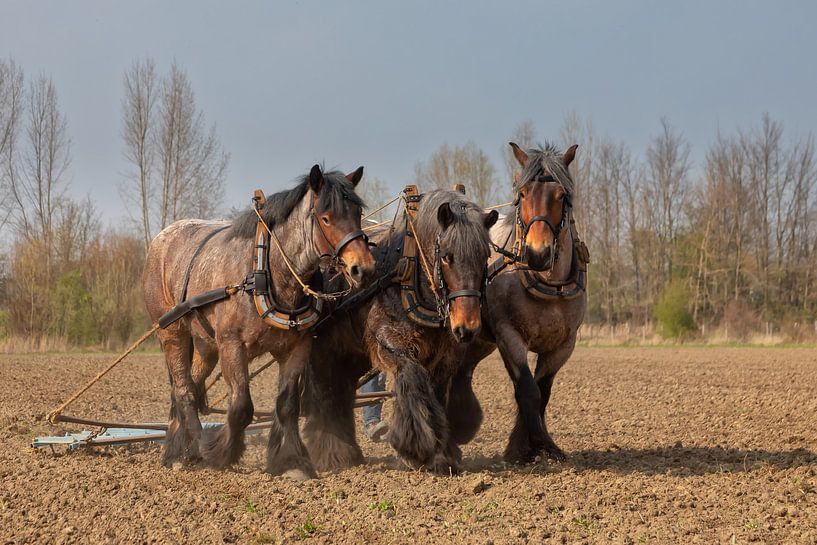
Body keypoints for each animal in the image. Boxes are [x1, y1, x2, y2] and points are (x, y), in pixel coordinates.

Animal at [143, 164, 376, 480]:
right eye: (326, 217)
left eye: (358, 213)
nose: (363, 268)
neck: (266, 270)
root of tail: (161, 238)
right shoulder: (232, 345)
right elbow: (241, 406)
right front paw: (218, 452)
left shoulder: (297, 348)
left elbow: (287, 405)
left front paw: (291, 462)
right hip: (173, 333)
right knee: (184, 390)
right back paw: (192, 448)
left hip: (205, 345)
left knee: (189, 383)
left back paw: (176, 449)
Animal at [301, 189, 498, 475]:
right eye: (447, 256)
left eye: (484, 256)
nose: (467, 327)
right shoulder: (390, 344)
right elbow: (413, 379)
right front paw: (417, 448)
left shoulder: (445, 357)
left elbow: (437, 395)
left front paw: (444, 454)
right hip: (323, 353)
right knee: (325, 394)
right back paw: (333, 454)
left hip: (350, 355)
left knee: (341, 391)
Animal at [447, 143, 588, 464]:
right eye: (522, 194)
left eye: (562, 196)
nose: (538, 253)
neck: (547, 284)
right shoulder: (509, 336)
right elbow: (527, 391)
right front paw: (532, 446)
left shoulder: (564, 345)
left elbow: (542, 392)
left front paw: (536, 445)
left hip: (478, 340)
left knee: (462, 371)